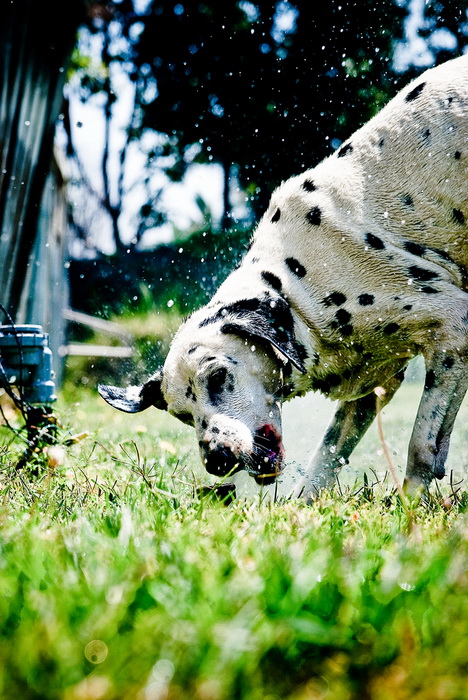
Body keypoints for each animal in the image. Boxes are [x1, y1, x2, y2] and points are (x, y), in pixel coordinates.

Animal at [98, 57, 468, 500]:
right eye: (184, 415)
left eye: (218, 377)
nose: (216, 459)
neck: (298, 285)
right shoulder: (374, 382)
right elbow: (327, 456)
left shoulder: (453, 332)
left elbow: (422, 447)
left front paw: (410, 504)